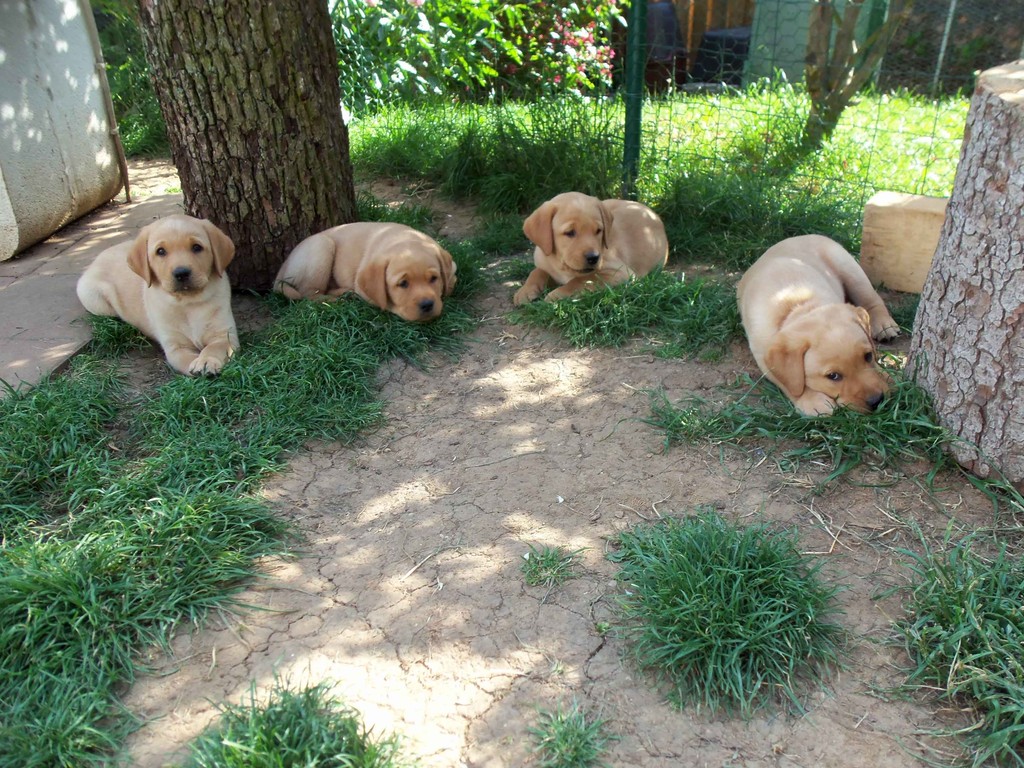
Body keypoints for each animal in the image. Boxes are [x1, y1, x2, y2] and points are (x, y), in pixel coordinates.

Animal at [76, 215, 239, 376]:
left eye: (197, 247)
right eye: (161, 251)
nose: (181, 273)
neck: (187, 302)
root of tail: (97, 258)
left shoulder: (225, 334)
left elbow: (214, 347)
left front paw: (206, 361)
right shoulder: (175, 348)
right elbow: (186, 360)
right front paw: (198, 363)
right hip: (96, 302)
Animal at [276, 221, 460, 323]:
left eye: (434, 278)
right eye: (403, 283)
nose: (427, 305)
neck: (403, 239)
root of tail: (281, 269)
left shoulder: (452, 268)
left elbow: (451, 282)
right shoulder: (364, 287)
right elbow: (384, 302)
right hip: (321, 245)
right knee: (308, 294)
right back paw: (337, 299)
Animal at [512, 192, 671, 307]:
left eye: (598, 231)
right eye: (569, 232)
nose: (593, 257)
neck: (562, 266)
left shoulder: (621, 273)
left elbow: (582, 280)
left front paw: (556, 295)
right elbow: (537, 272)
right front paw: (525, 291)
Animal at [737, 234, 897, 417]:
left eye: (868, 356)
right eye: (833, 376)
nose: (877, 401)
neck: (798, 304)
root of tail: (800, 236)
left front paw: (887, 376)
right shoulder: (762, 354)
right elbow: (789, 382)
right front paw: (812, 400)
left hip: (850, 269)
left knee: (872, 299)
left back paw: (884, 325)